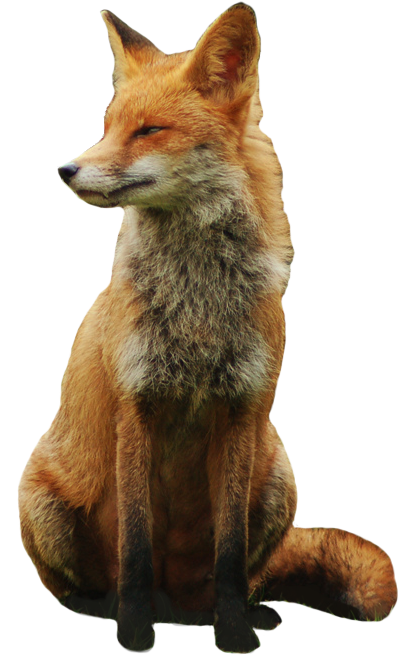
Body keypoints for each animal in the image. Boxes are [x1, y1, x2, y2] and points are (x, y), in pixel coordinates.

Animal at [17, 2, 398, 655]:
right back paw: (104, 609)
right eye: (107, 126)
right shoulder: (136, 408)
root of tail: (176, 601)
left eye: (148, 131)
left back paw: (235, 613)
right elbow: (136, 548)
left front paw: (234, 633)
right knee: (80, 587)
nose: (65, 169)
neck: (197, 309)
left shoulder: (242, 409)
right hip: (37, 494)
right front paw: (134, 633)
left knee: (236, 574)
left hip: (278, 476)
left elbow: (229, 555)